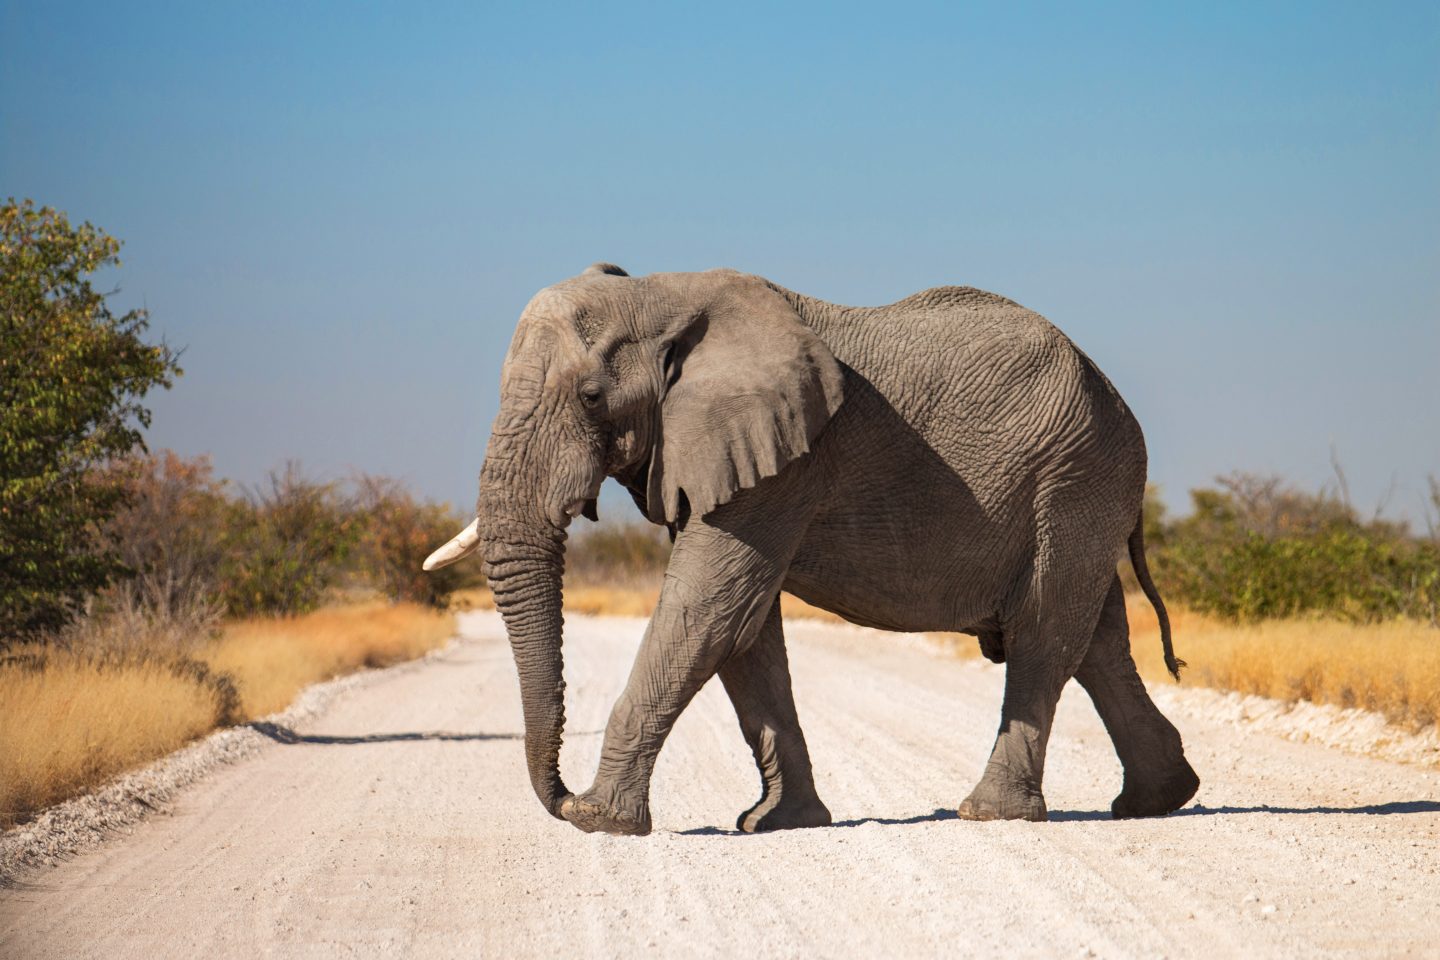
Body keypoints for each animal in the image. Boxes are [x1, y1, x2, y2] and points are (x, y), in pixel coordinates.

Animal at [424, 263, 1199, 836]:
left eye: (590, 397)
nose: (558, 796)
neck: (663, 292)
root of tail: (1113, 396)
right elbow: (745, 631)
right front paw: (777, 822)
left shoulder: (787, 460)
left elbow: (707, 611)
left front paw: (599, 821)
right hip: (1081, 488)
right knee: (1097, 642)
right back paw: (1157, 801)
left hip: (1073, 477)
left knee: (1045, 633)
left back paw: (990, 814)